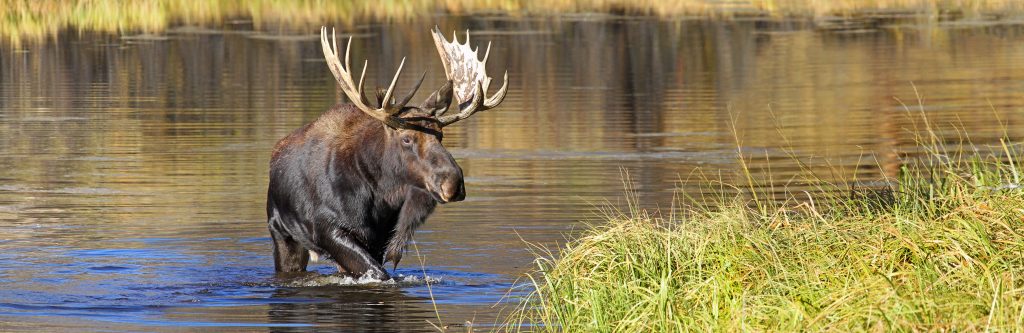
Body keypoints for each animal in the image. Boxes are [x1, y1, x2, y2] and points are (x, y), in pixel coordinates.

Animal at [262, 25, 505, 276]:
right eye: (406, 139)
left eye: (441, 134)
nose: (454, 183)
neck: (380, 196)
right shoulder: (328, 230)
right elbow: (380, 273)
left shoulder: (380, 238)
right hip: (282, 232)